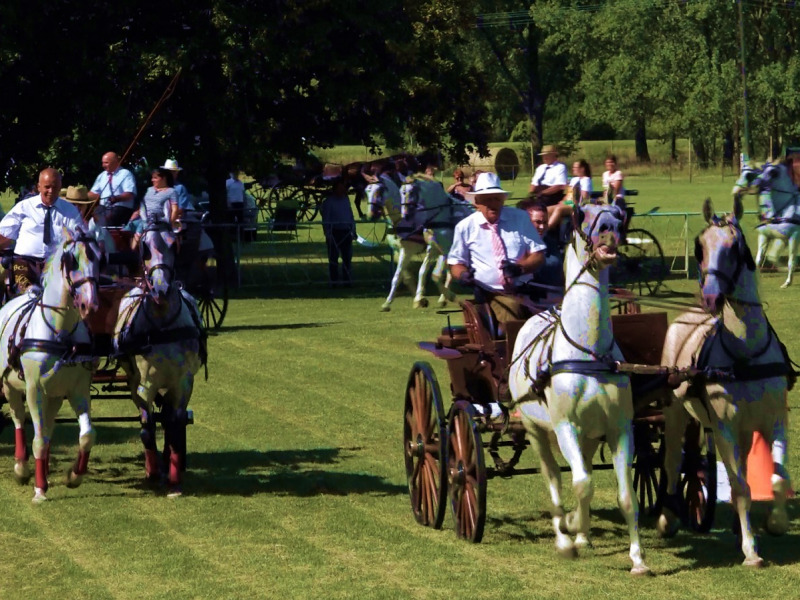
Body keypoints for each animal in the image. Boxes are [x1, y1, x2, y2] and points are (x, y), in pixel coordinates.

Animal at [0, 230, 102, 502]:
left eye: (101, 258)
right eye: (71, 261)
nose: (91, 305)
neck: (60, 333)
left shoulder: (77, 390)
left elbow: (87, 436)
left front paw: (73, 476)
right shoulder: (33, 389)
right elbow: (37, 440)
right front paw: (38, 489)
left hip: (54, 395)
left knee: (47, 428)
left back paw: (43, 471)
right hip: (11, 388)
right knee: (19, 420)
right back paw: (22, 467)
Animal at [512, 202, 648, 576]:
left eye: (617, 213)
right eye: (581, 213)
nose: (609, 229)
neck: (588, 352)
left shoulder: (619, 428)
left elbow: (626, 496)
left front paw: (638, 559)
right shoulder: (565, 427)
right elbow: (582, 483)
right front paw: (571, 525)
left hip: (588, 436)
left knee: (580, 469)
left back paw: (582, 535)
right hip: (535, 430)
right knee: (554, 477)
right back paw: (565, 536)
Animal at [656, 197, 792, 568]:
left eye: (735, 247)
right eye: (700, 247)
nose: (712, 298)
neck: (746, 353)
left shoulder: (775, 420)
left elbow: (776, 478)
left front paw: (775, 523)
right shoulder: (724, 426)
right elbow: (741, 488)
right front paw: (751, 550)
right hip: (676, 412)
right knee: (671, 461)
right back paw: (668, 517)